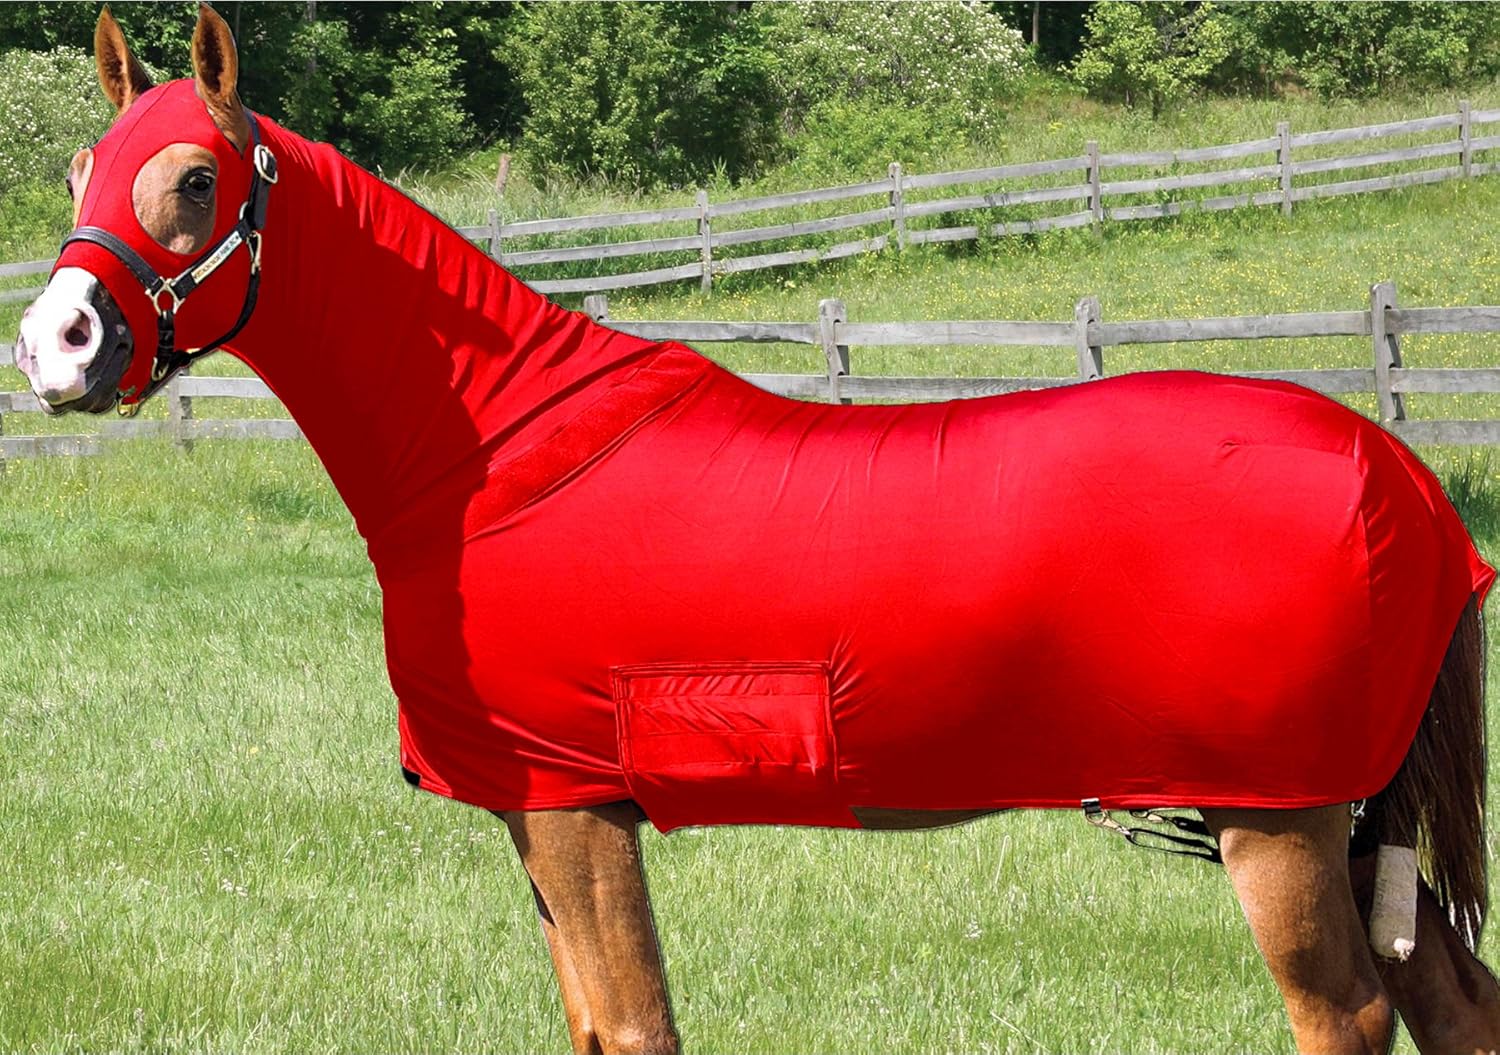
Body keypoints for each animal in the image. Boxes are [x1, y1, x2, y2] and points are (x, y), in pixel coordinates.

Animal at [13, 8, 1500, 1052]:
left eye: (193, 180)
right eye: (87, 164)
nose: (55, 346)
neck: (495, 450)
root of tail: (1402, 475)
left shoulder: (573, 808)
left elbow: (631, 1024)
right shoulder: (540, 816)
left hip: (1278, 821)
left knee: (1349, 1016)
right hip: (1346, 814)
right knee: (1456, 1002)